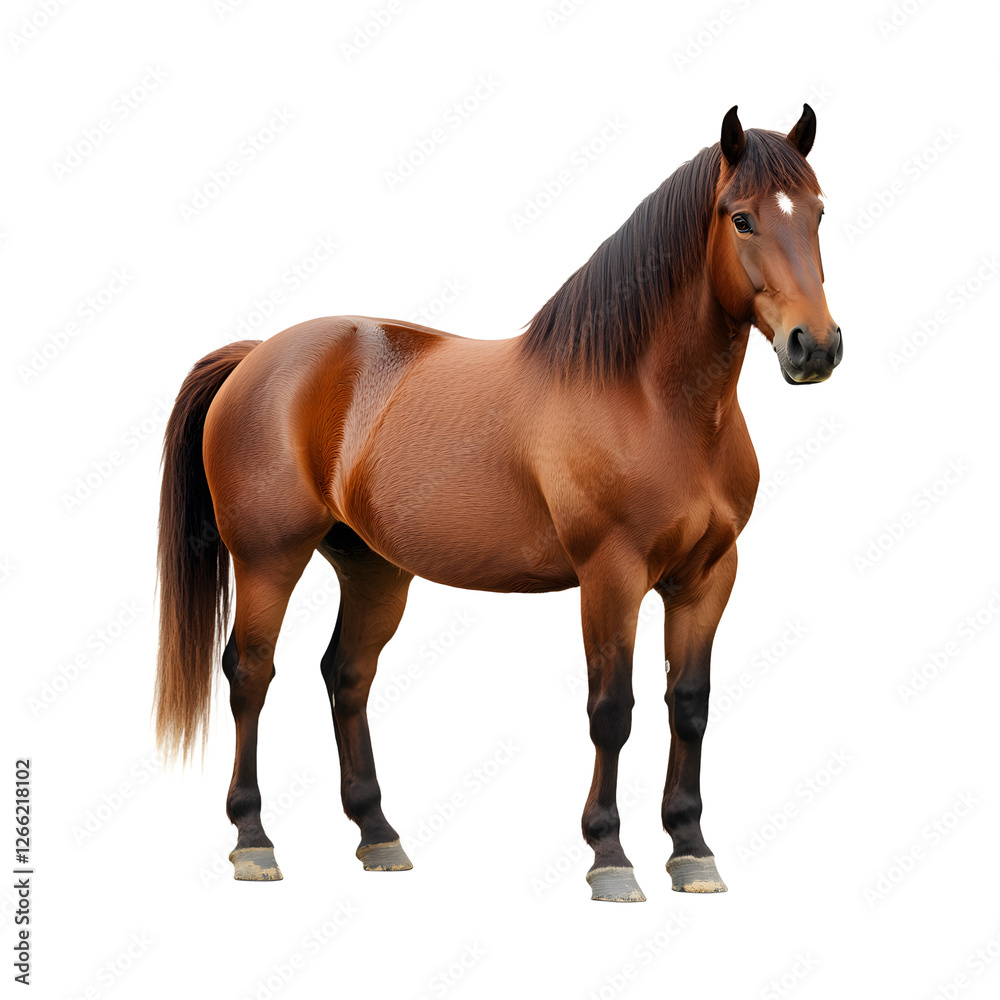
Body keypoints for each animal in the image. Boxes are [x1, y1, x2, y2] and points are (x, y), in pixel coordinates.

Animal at [154, 104, 841, 901]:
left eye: (818, 212)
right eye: (741, 218)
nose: (815, 347)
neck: (649, 397)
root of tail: (257, 354)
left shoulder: (707, 577)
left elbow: (689, 706)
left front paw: (692, 849)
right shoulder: (610, 577)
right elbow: (612, 710)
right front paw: (610, 857)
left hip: (373, 567)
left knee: (346, 675)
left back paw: (378, 835)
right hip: (269, 559)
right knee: (250, 675)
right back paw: (254, 840)